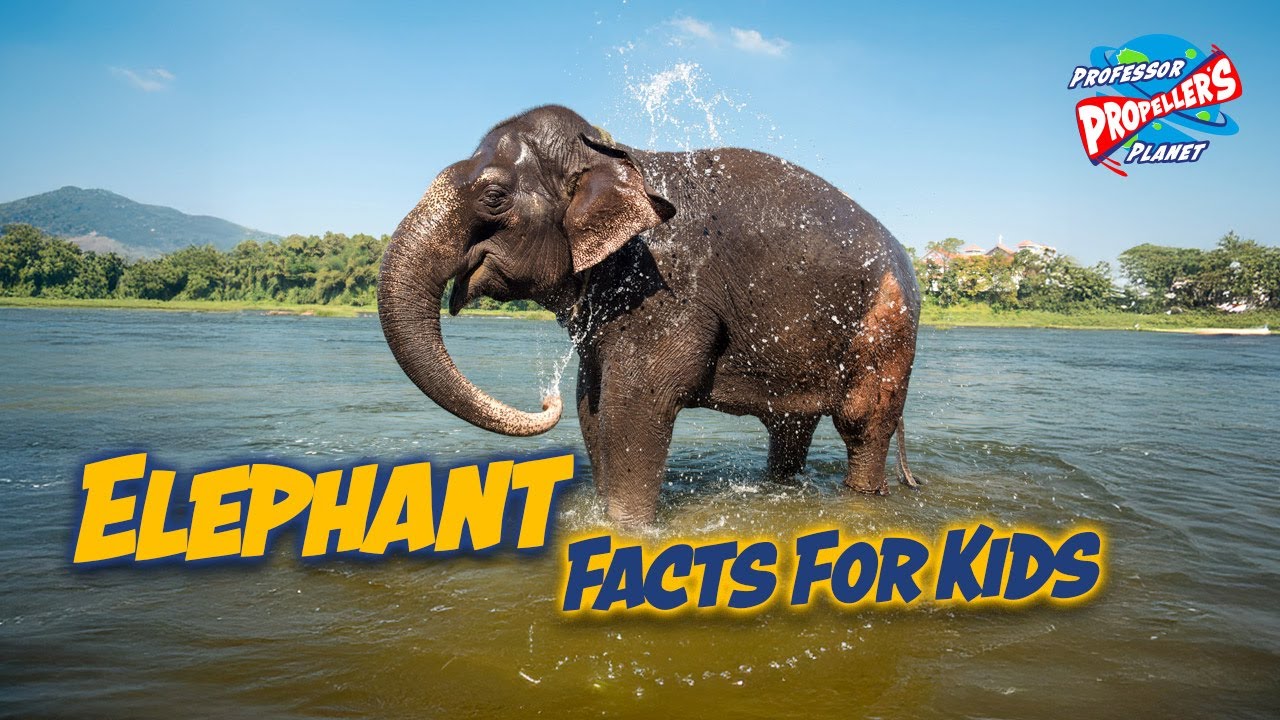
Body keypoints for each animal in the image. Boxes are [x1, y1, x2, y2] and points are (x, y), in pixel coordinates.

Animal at [378, 105, 920, 526]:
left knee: (863, 423)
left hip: (887, 328)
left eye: (494, 197)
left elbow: (638, 402)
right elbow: (591, 404)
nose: (545, 401)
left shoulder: (666, 289)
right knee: (789, 428)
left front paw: (629, 531)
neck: (613, 155)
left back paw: (862, 498)